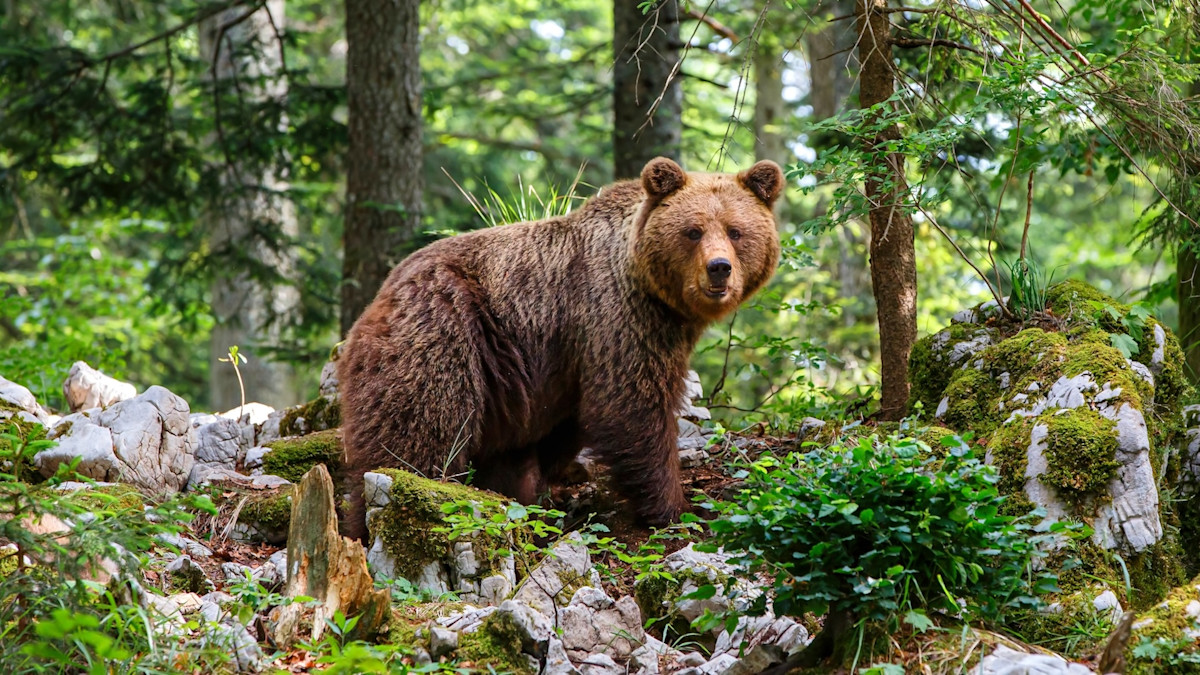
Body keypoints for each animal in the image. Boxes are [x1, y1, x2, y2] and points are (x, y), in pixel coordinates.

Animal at [338, 157, 784, 542]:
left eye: (735, 230)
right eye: (692, 231)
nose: (719, 268)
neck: (660, 297)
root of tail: (378, 298)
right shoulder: (618, 316)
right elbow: (633, 408)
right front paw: (674, 508)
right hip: (444, 330)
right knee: (416, 434)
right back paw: (373, 520)